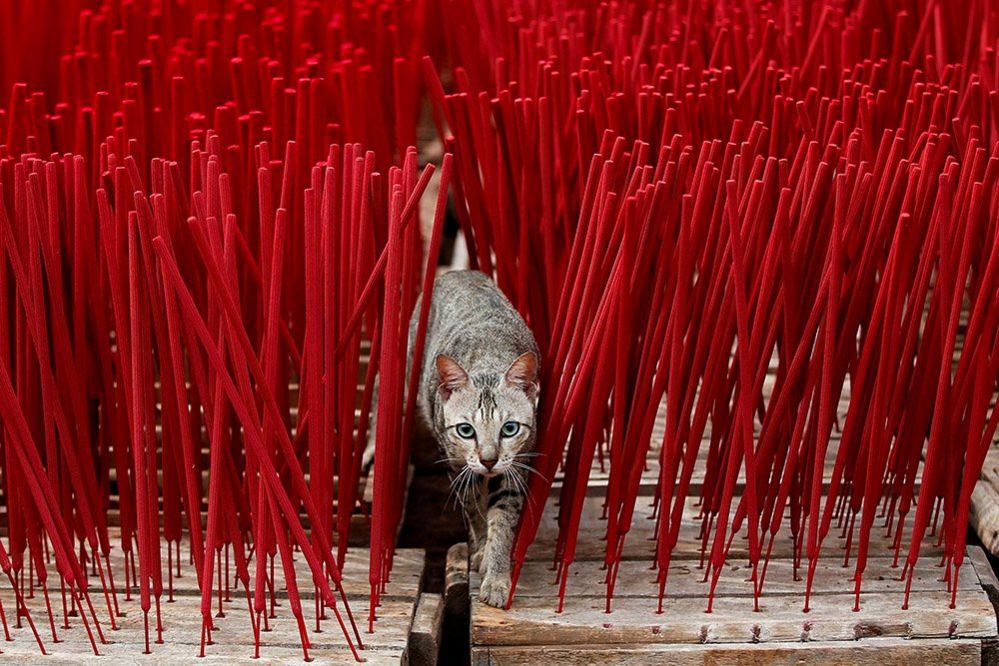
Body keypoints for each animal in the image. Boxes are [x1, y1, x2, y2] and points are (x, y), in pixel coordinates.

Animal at [366, 270, 540, 608]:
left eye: (509, 429)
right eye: (466, 430)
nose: (489, 459)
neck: (488, 358)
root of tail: (458, 271)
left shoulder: (516, 466)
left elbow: (502, 522)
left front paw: (496, 576)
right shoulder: (458, 466)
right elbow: (474, 511)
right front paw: (482, 550)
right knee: (382, 386)